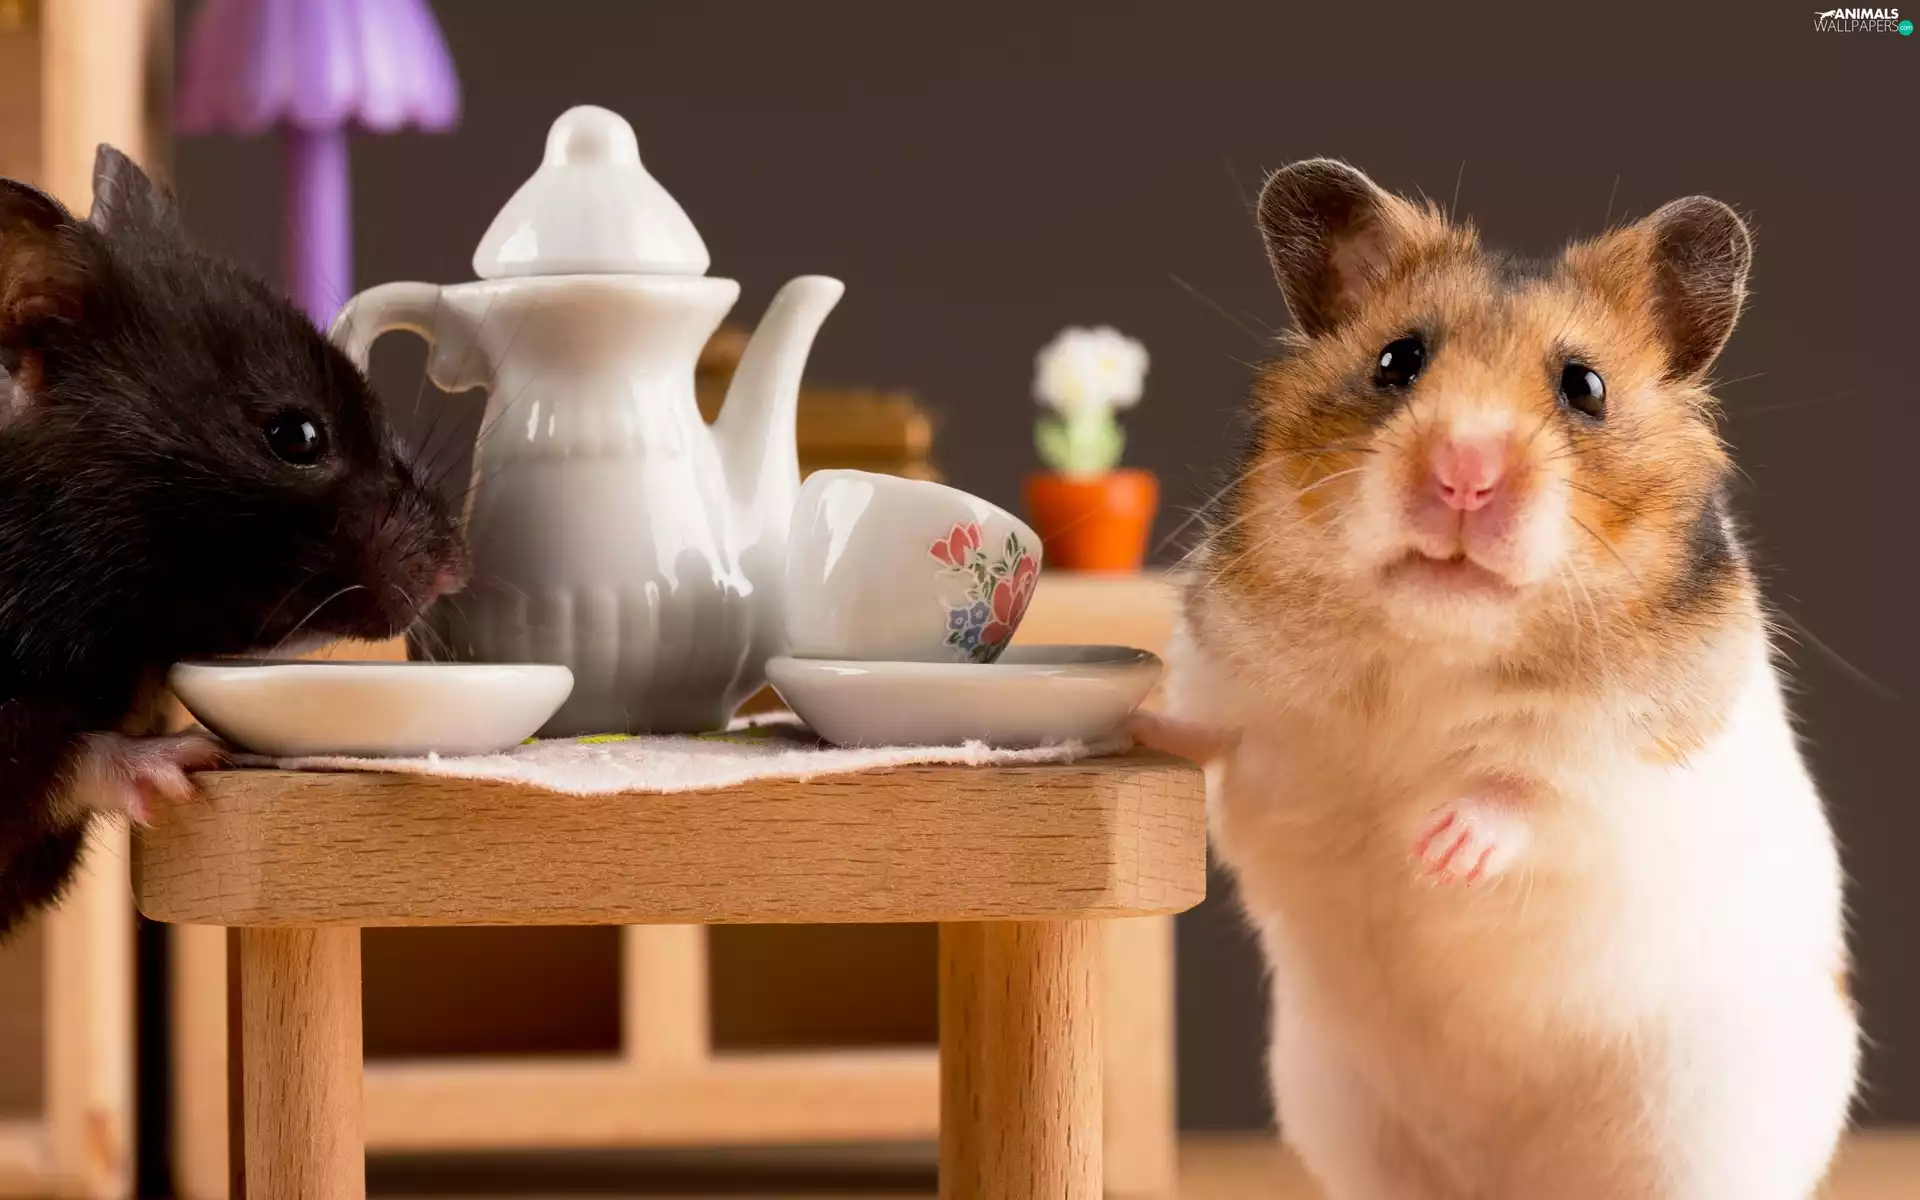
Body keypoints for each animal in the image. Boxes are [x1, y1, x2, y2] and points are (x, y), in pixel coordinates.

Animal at [1158, 160, 1858, 1198]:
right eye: (1397, 360)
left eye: (1585, 387)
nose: (1464, 474)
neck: (1435, 645)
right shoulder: (1226, 684)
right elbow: (1196, 734)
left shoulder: (1635, 765)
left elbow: (1529, 791)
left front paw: (1432, 849)